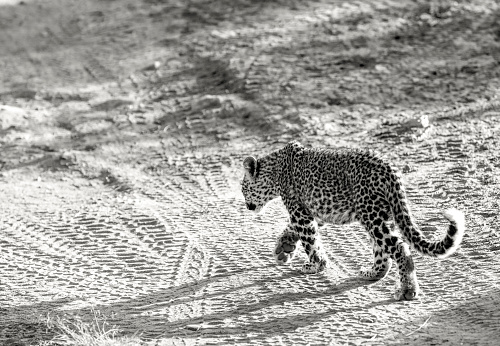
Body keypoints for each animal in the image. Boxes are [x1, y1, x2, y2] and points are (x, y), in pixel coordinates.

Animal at [240, 141, 466, 300]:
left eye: (243, 189)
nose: (247, 206)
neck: (275, 170)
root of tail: (389, 169)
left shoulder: (300, 212)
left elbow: (310, 241)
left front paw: (316, 265)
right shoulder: (314, 213)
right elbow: (294, 230)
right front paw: (284, 248)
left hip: (372, 214)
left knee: (399, 247)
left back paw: (407, 290)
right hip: (380, 215)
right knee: (383, 251)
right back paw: (372, 273)